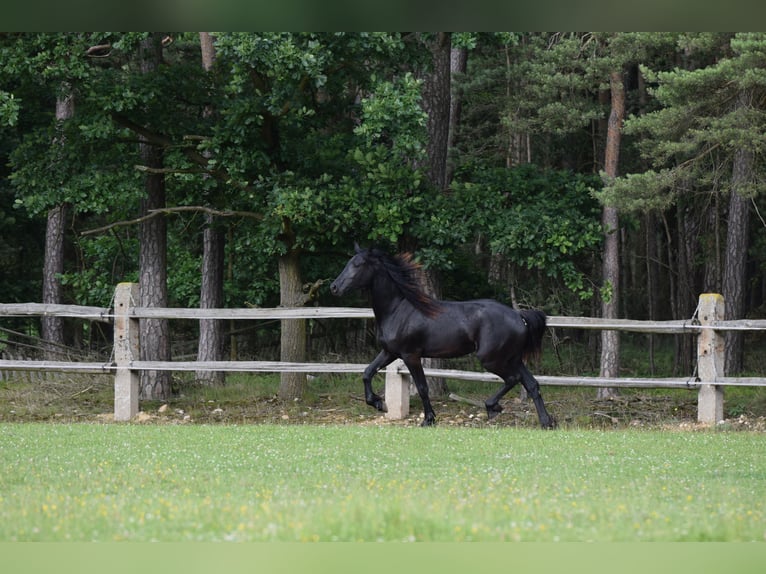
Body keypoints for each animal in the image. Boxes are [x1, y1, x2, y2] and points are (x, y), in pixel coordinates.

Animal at [328, 245, 556, 430]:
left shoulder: (410, 355)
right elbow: (367, 372)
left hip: (492, 359)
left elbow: (422, 387)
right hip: (513, 358)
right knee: (532, 384)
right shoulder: (390, 352)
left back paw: (493, 407)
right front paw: (378, 403)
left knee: (513, 379)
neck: (398, 309)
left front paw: (428, 419)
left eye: (357, 265)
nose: (334, 287)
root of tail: (519, 316)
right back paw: (547, 422)